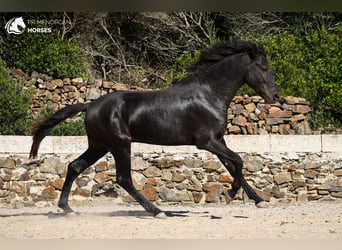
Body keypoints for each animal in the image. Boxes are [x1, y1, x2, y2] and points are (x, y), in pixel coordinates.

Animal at [30, 40, 280, 218]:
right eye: (263, 67)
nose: (275, 96)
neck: (208, 95)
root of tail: (90, 105)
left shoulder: (219, 140)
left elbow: (232, 165)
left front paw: (258, 200)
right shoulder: (207, 142)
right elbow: (238, 161)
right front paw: (230, 193)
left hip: (100, 146)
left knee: (74, 166)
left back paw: (67, 209)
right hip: (120, 144)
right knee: (123, 179)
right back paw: (157, 211)